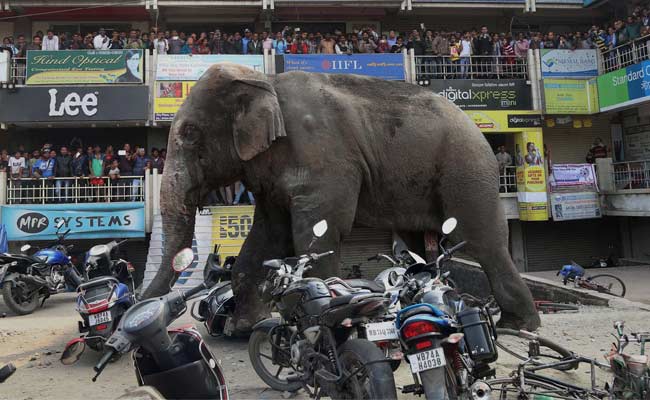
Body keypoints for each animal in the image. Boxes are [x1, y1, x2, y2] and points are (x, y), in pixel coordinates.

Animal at [143, 62, 541, 332]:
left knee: (480, 241)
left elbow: (317, 234)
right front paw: (244, 327)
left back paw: (518, 325)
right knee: (416, 244)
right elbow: (267, 238)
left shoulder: (323, 157)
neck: (265, 81)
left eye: (190, 133)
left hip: (466, 169)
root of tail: (482, 131)